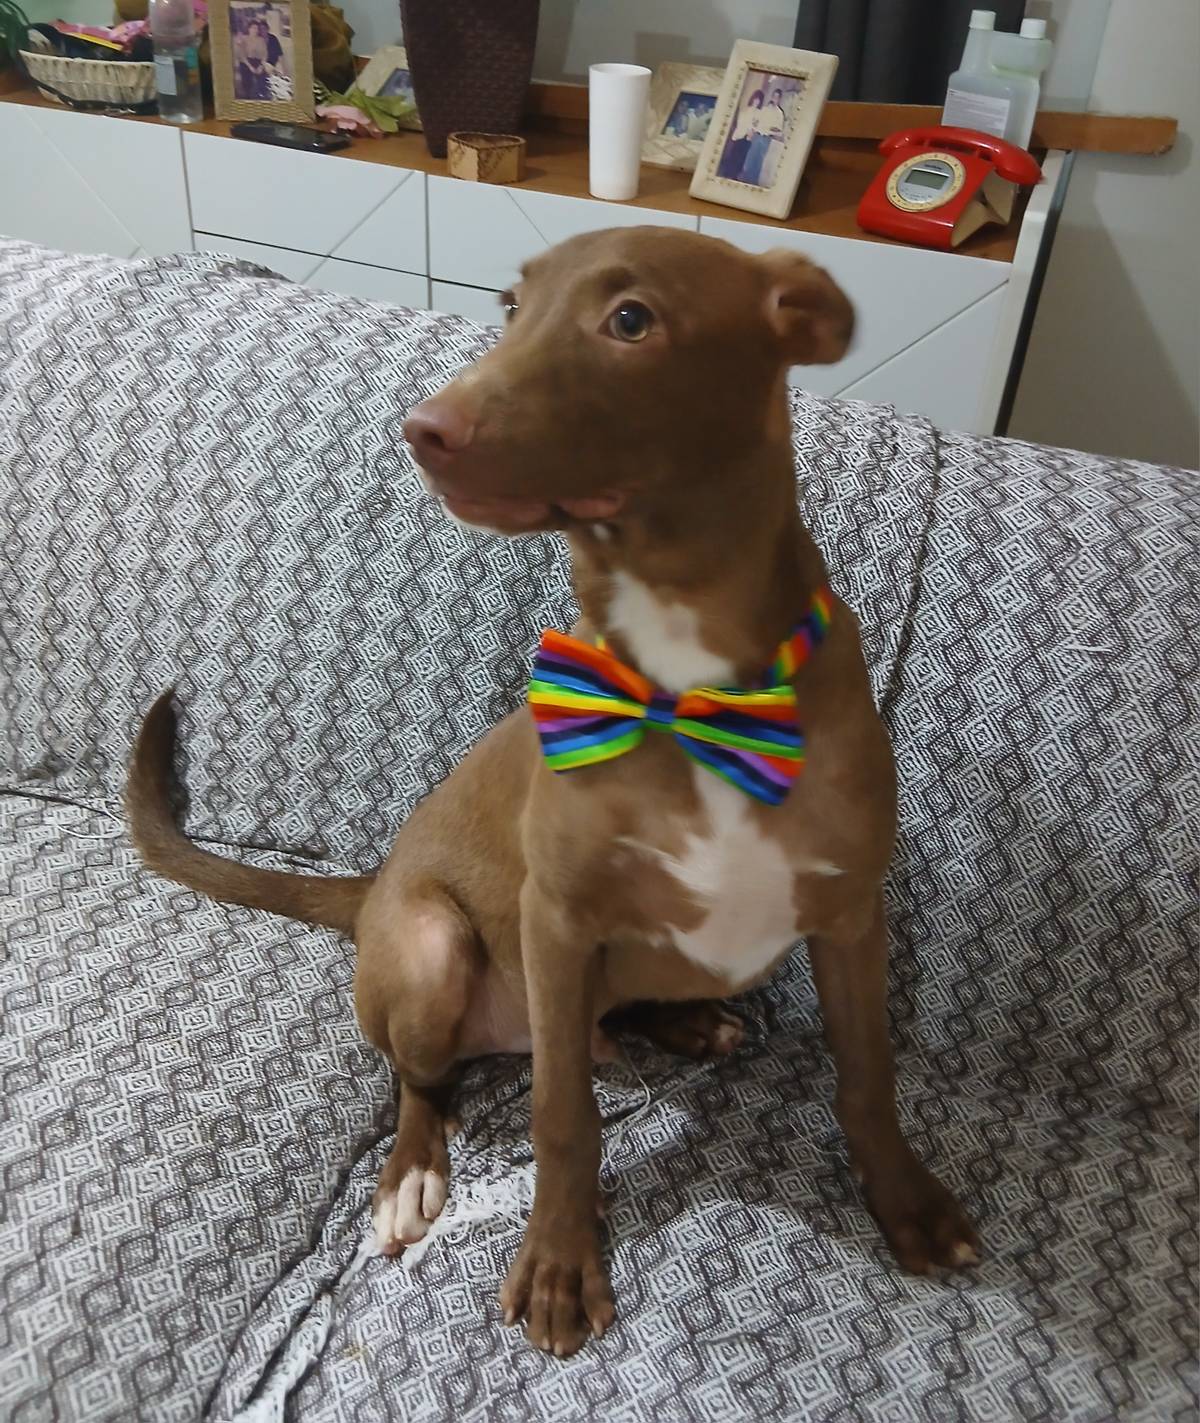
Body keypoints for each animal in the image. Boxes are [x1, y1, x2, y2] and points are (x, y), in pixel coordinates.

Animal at [127, 226, 979, 1358]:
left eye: (631, 319)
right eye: (509, 306)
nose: (424, 429)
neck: (684, 682)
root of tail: (373, 886)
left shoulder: (849, 913)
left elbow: (869, 1076)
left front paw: (908, 1204)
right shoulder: (559, 918)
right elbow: (563, 1116)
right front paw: (560, 1262)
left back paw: (682, 1027)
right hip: (431, 947)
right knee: (423, 1078)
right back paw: (411, 1172)